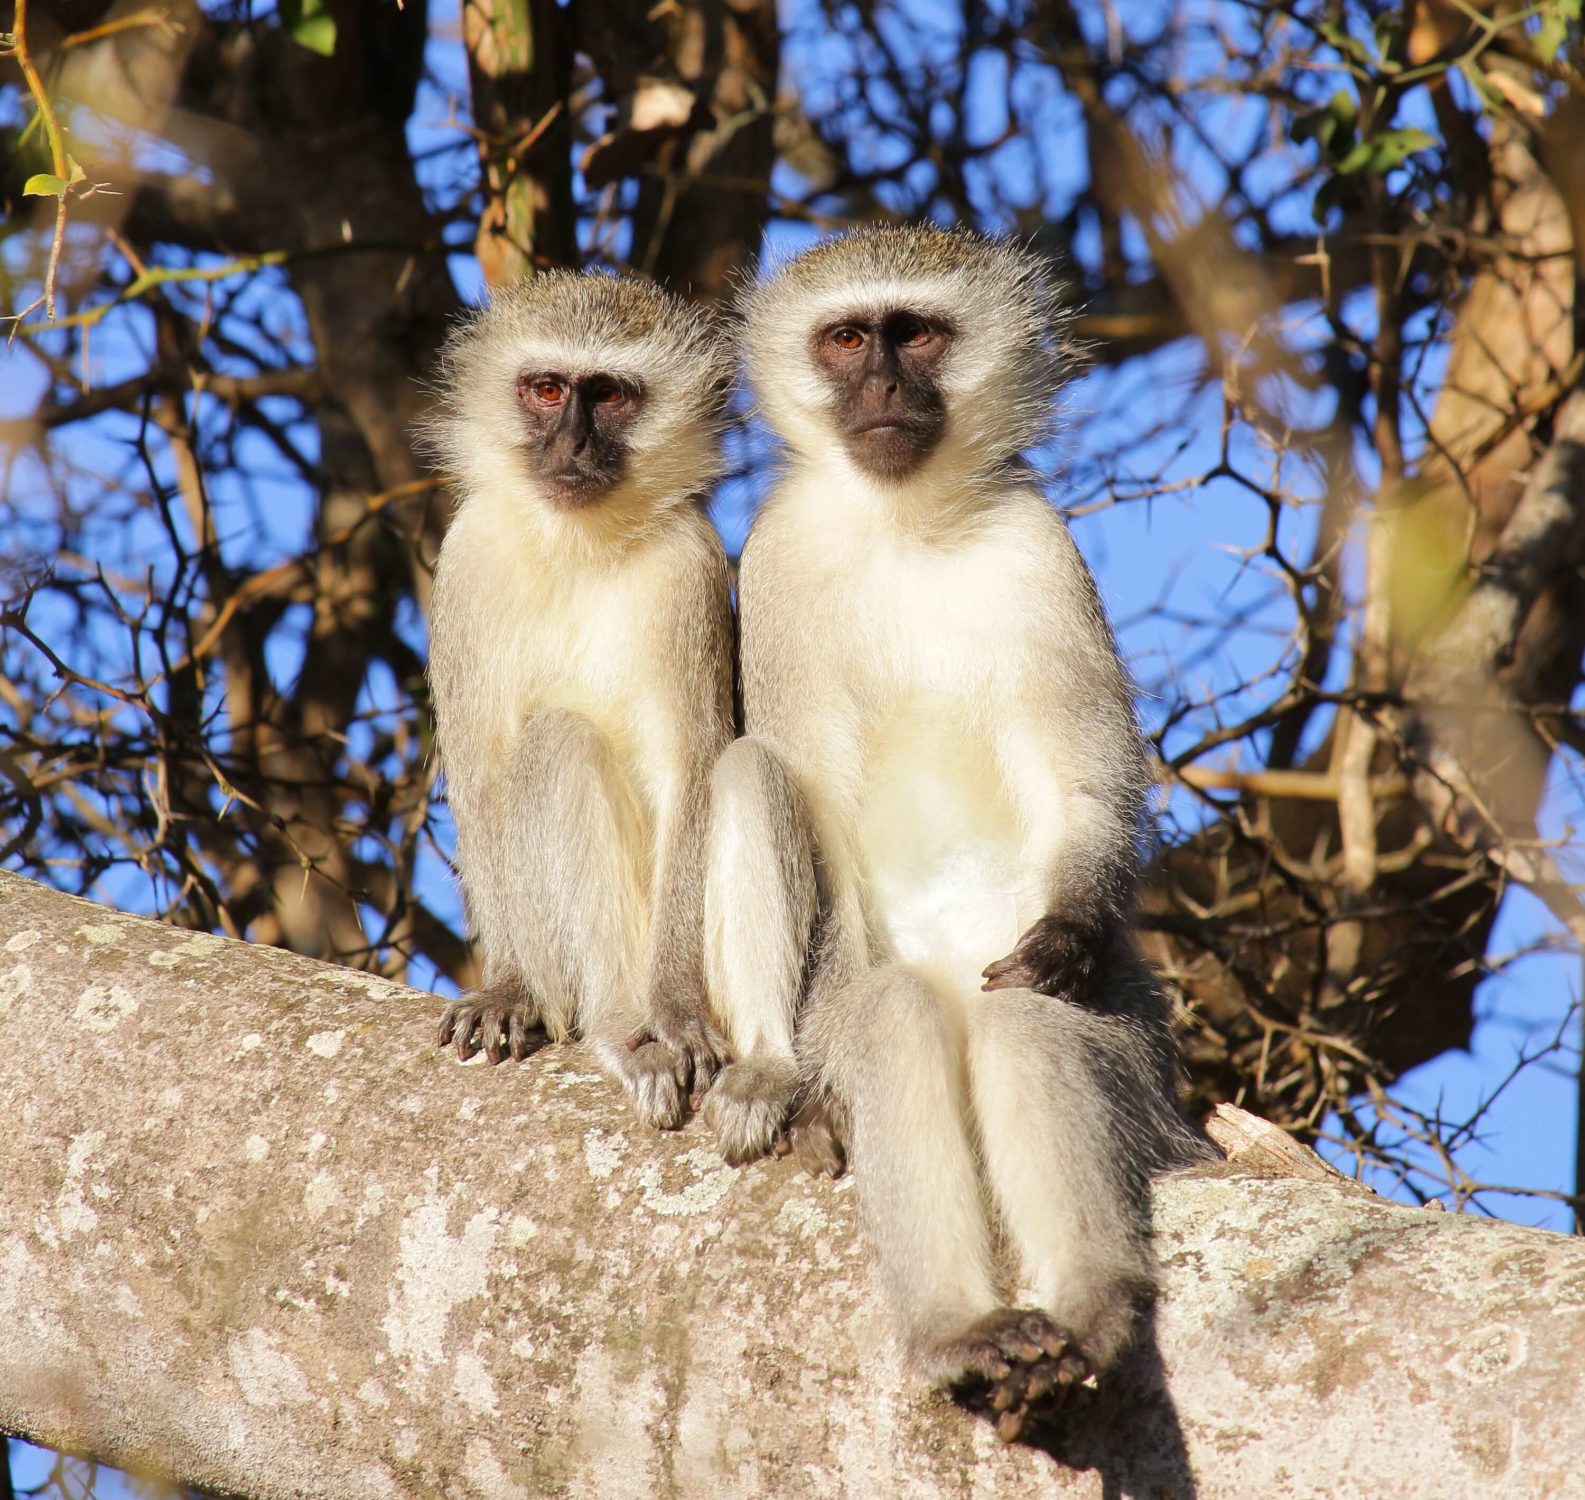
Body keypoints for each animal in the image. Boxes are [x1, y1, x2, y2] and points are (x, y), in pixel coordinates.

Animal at [424, 270, 734, 1131]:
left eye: (609, 395)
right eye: (547, 389)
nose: (570, 445)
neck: (576, 545)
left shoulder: (690, 570)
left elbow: (695, 772)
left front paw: (676, 1009)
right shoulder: (463, 559)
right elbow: (480, 778)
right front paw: (506, 985)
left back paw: (632, 1031)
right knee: (552, 745)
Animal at [701, 225, 1213, 1441]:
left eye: (917, 335)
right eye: (849, 339)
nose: (886, 387)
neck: (904, 527)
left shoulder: (1040, 550)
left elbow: (1086, 782)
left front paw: (1067, 933)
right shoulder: (777, 559)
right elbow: (817, 815)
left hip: (1126, 1051)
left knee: (1028, 1029)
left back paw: (1083, 1314)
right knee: (882, 1008)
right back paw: (960, 1330)